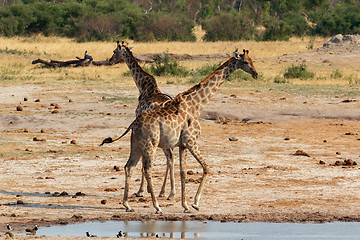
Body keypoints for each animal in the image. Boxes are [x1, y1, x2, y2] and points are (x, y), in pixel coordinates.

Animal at [105, 41, 176, 199]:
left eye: (114, 51)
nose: (109, 61)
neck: (142, 86)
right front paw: (148, 189)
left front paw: (141, 190)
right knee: (170, 157)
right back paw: (165, 192)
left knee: (169, 156)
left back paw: (169, 192)